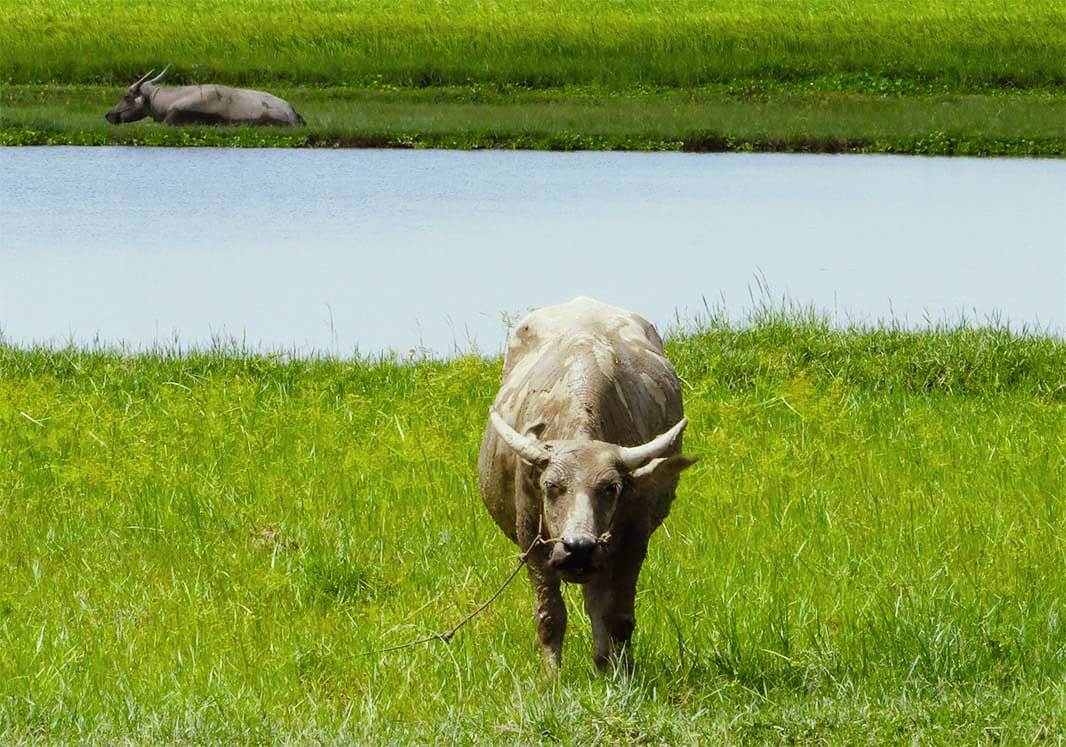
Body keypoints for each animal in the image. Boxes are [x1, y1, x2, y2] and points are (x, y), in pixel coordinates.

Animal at [479, 296, 695, 669]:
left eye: (611, 488)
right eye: (551, 487)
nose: (578, 547)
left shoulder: (632, 541)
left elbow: (618, 617)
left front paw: (619, 672)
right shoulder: (532, 541)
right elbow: (550, 617)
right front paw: (552, 677)